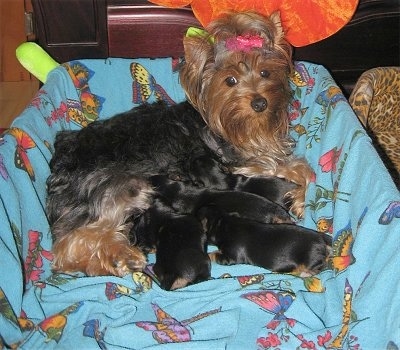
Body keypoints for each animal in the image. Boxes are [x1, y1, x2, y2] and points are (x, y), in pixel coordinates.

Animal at [47, 11, 314, 282]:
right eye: (230, 80)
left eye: (265, 73)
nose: (260, 103)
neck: (246, 126)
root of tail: (62, 155)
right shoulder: (244, 164)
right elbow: (296, 168)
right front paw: (296, 196)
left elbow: (301, 169)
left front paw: (295, 196)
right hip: (120, 186)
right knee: (69, 245)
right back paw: (121, 257)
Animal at [197, 205, 332, 276]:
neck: (224, 223)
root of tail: (322, 239)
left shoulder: (230, 257)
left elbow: (213, 254)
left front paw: (209, 254)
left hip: (311, 259)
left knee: (320, 266)